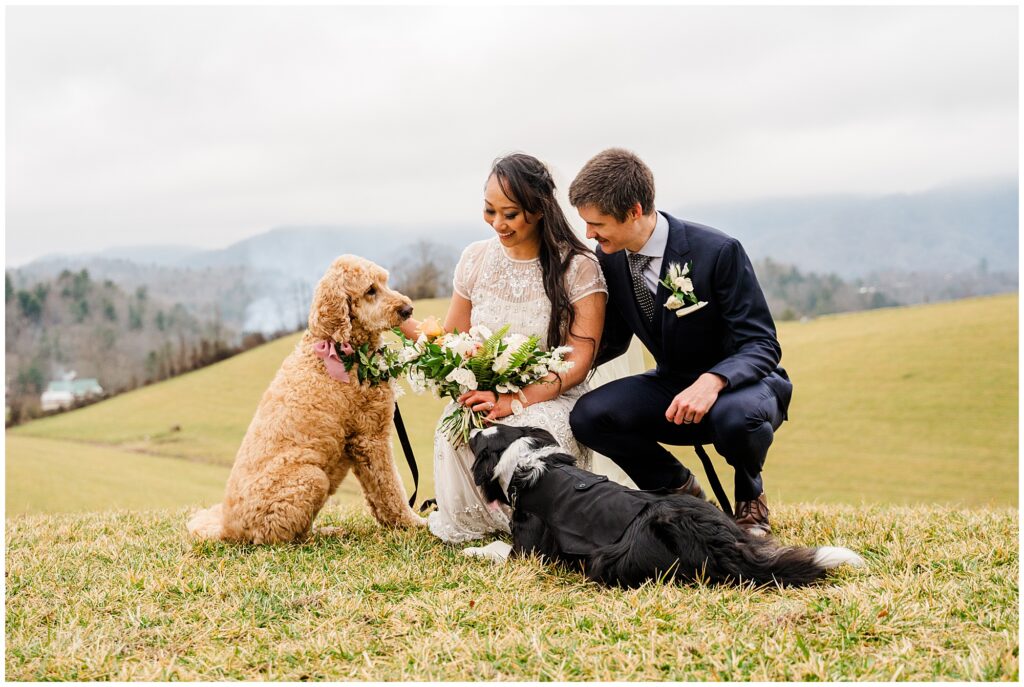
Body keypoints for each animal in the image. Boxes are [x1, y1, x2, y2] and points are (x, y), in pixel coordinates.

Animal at [188, 254, 423, 544]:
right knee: (283, 537)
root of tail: (227, 529)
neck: (339, 348)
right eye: (370, 290)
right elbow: (390, 488)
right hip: (311, 478)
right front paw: (412, 523)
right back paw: (323, 536)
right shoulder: (370, 438)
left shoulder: (360, 443)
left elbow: (377, 495)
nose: (408, 309)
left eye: (385, 282)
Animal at [466, 427, 864, 589]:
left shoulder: (529, 550)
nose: (470, 428)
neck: (523, 460)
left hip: (610, 559)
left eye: (477, 440)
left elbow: (499, 548)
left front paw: (471, 550)